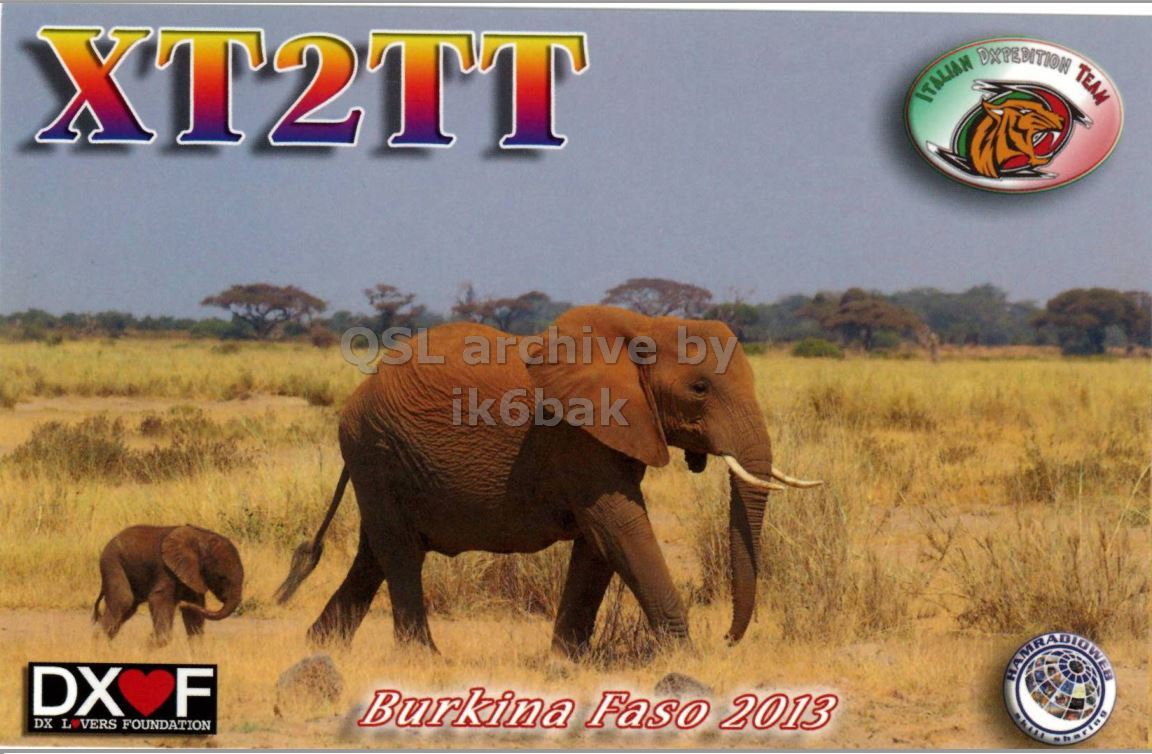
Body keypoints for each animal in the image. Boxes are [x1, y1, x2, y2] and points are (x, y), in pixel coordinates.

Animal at [93, 524, 244, 644]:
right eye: (222, 578)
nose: (182, 604)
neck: (201, 540)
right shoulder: (166, 571)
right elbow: (159, 599)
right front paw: (153, 644)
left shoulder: (192, 574)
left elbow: (194, 610)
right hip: (112, 562)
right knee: (124, 600)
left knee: (129, 608)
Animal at [275, 305, 820, 658]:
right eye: (700, 388)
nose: (727, 638)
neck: (641, 330)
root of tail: (359, 391)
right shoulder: (577, 433)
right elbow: (621, 526)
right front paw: (687, 660)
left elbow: (600, 542)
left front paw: (564, 661)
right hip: (376, 451)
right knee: (400, 552)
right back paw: (424, 660)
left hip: (382, 461)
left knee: (376, 553)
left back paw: (321, 645)